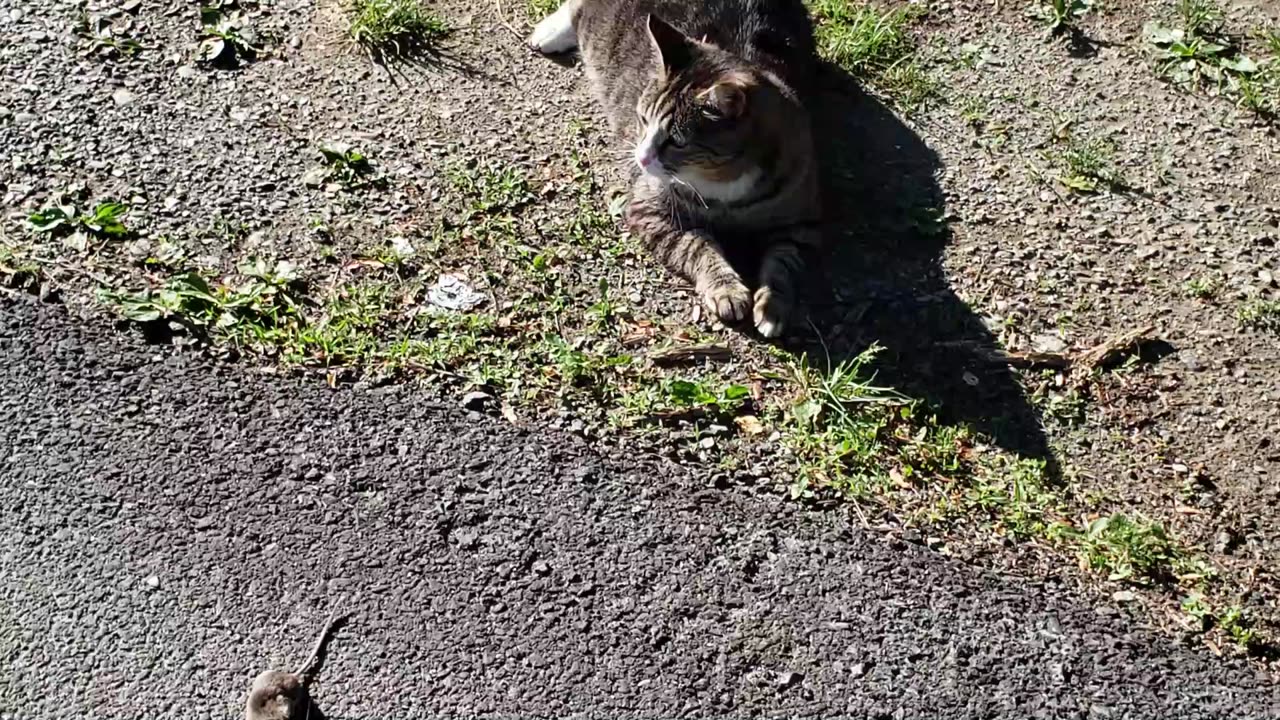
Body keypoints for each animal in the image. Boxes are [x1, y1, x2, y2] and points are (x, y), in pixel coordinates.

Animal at [527, 0, 819, 338]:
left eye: (677, 141)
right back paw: (552, 31)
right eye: (642, 119)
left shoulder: (801, 223)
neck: (725, 185)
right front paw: (726, 289)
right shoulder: (649, 211)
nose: (641, 158)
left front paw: (772, 304)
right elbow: (696, 246)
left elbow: (784, 264)